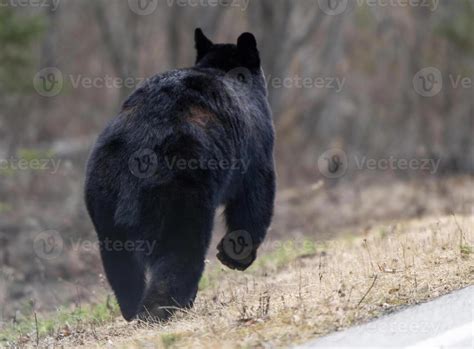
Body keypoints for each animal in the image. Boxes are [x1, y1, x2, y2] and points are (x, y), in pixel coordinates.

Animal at [84, 27, 276, 320]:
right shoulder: (255, 145)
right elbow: (255, 196)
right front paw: (235, 255)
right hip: (180, 189)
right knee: (181, 249)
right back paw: (162, 307)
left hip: (103, 195)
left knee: (120, 262)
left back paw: (132, 307)